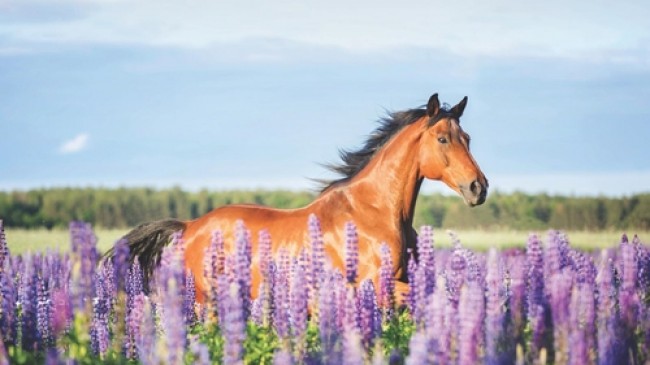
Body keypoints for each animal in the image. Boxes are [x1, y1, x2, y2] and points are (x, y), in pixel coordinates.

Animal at [114, 91, 486, 302]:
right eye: (442, 139)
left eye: (467, 137)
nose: (478, 187)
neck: (375, 213)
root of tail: (189, 227)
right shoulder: (377, 286)